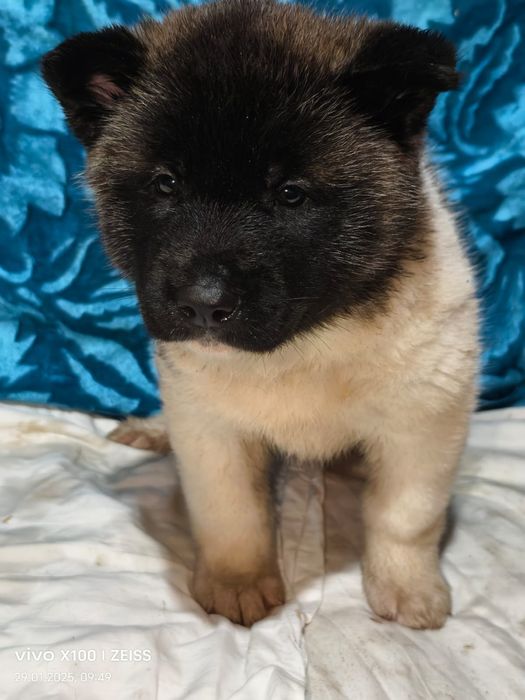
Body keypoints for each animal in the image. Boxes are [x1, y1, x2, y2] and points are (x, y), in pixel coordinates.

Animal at [42, 0, 479, 628]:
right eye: (165, 185)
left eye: (291, 193)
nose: (202, 303)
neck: (303, 343)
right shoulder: (210, 428)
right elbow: (231, 515)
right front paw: (238, 582)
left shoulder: (424, 425)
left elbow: (405, 518)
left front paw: (406, 587)